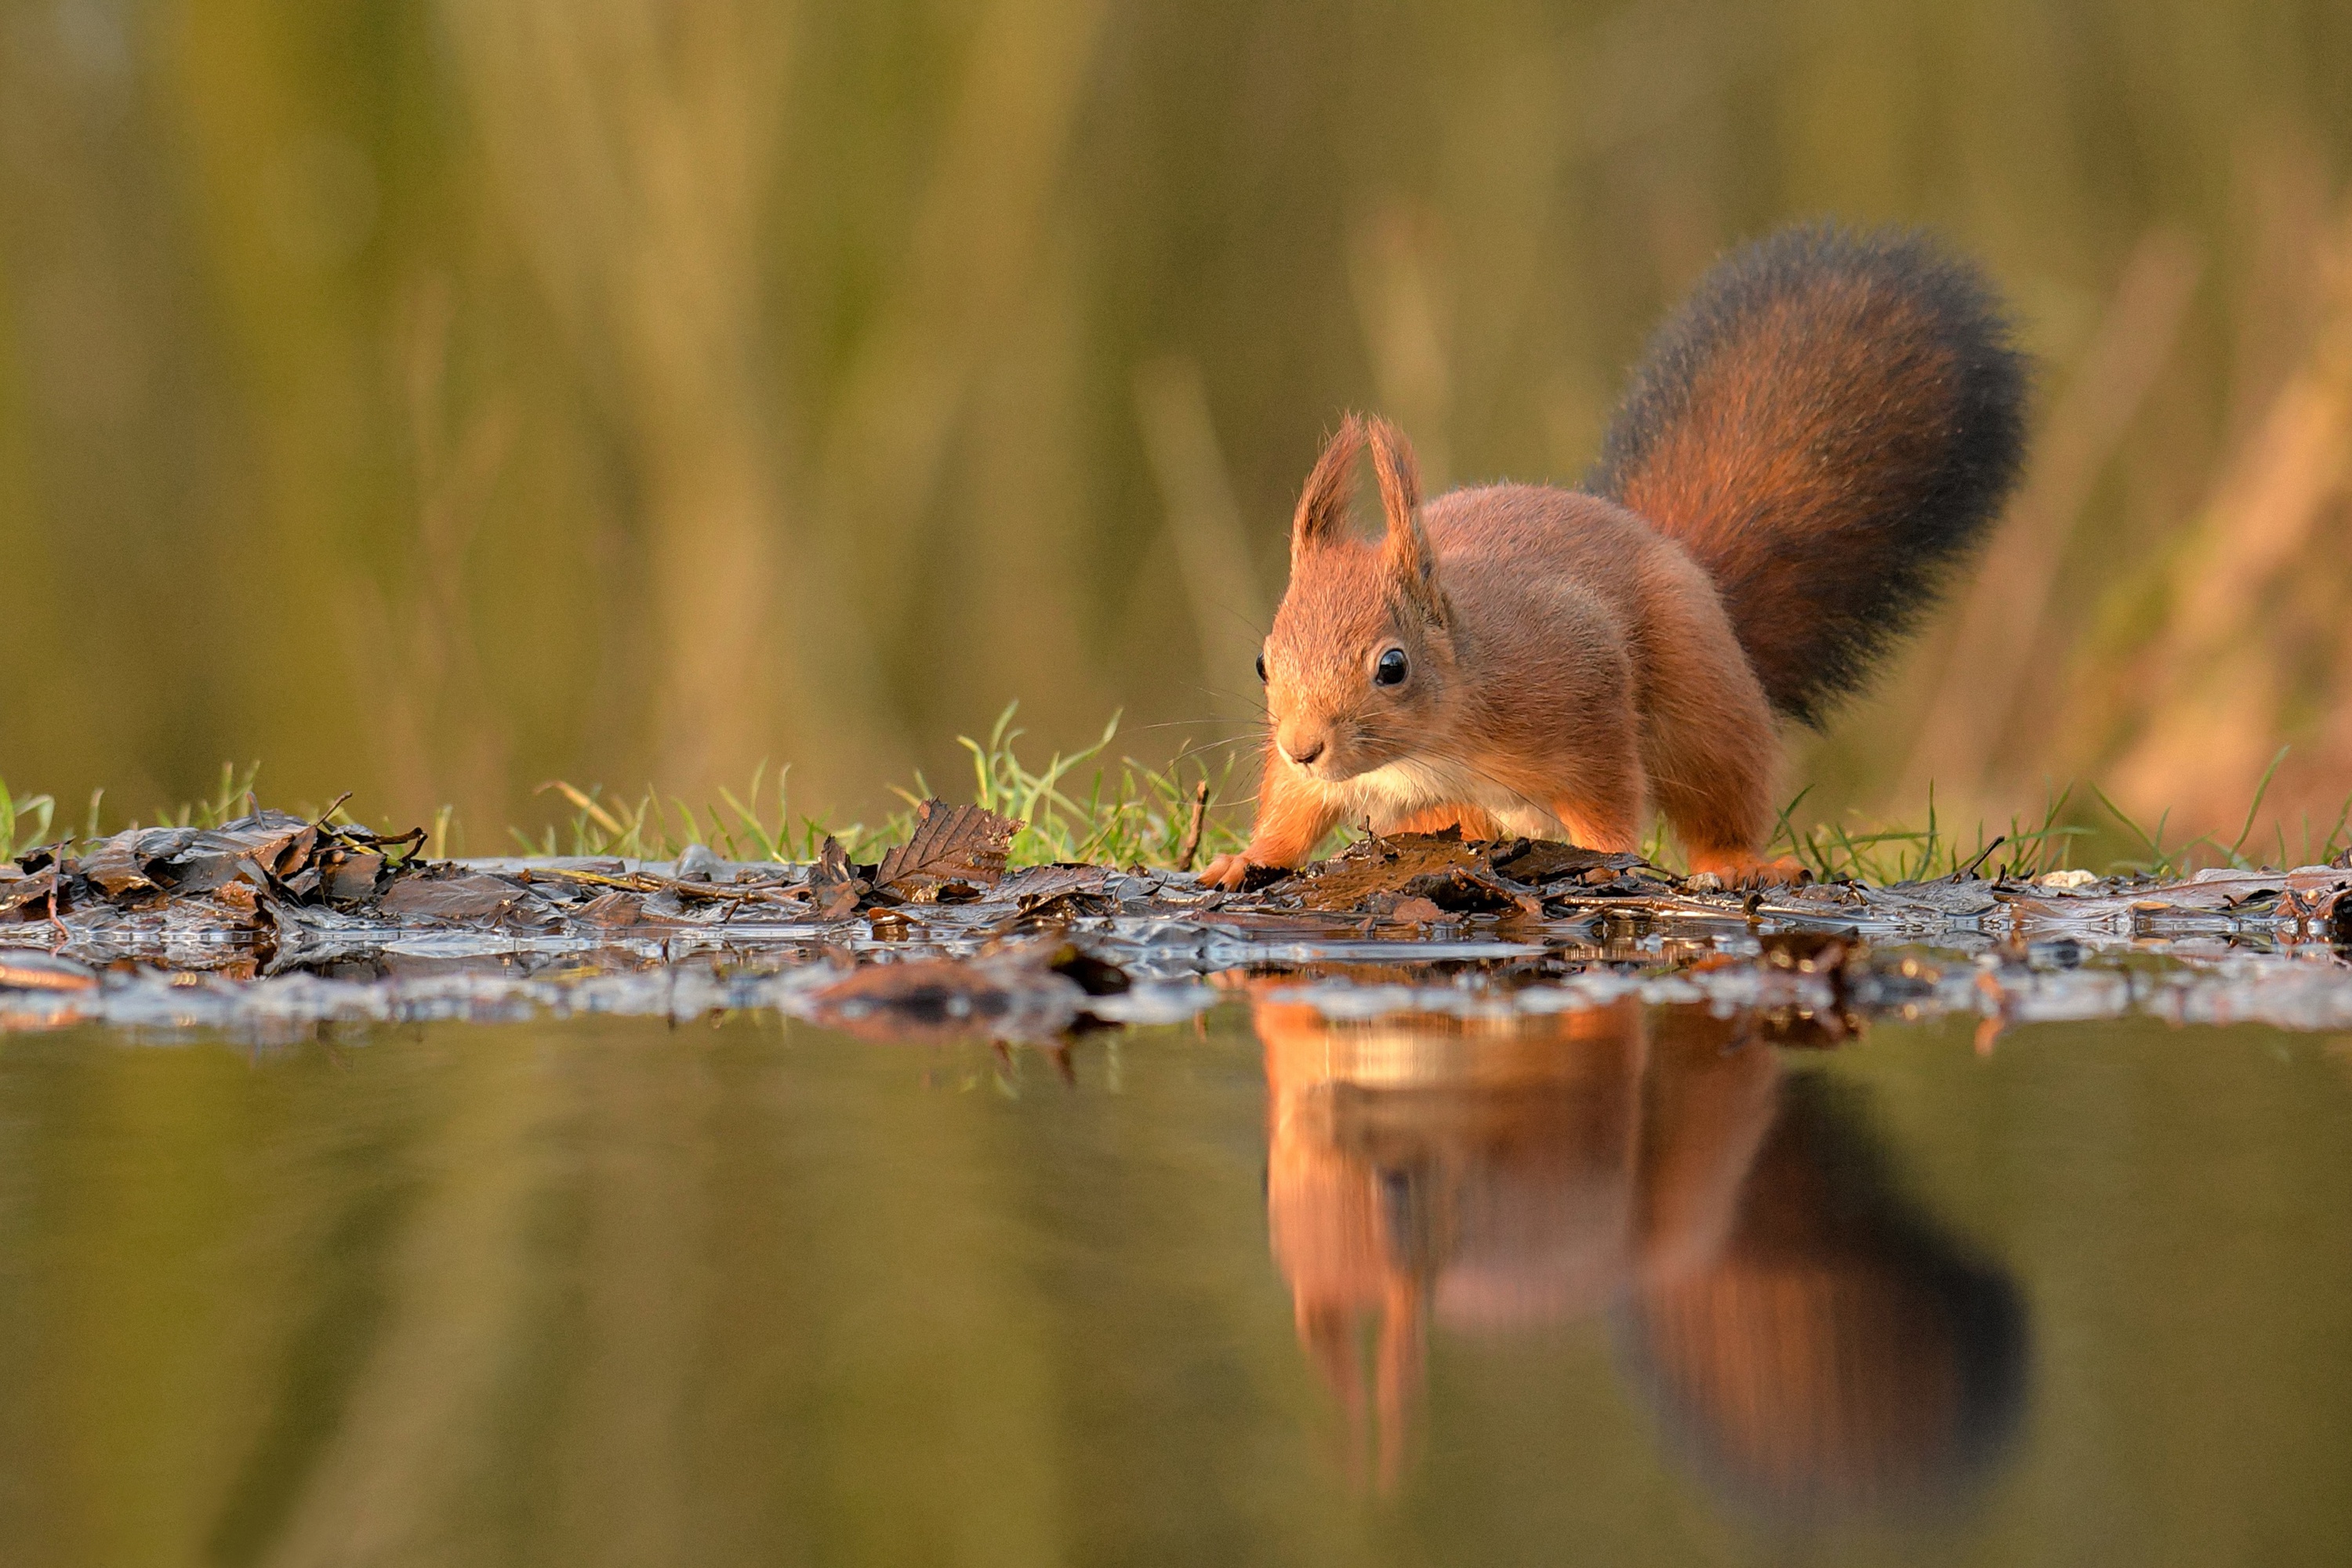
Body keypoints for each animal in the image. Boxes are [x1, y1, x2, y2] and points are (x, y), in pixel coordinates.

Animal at [1204, 225, 2032, 888]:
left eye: (1393, 666)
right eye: (1263, 662)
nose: (1303, 746)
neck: (1427, 747)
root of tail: (1669, 547)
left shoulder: (1576, 694)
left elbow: (1606, 800)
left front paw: (1604, 860)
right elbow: (1288, 815)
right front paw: (1244, 860)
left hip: (1706, 706)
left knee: (1718, 796)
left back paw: (1737, 862)